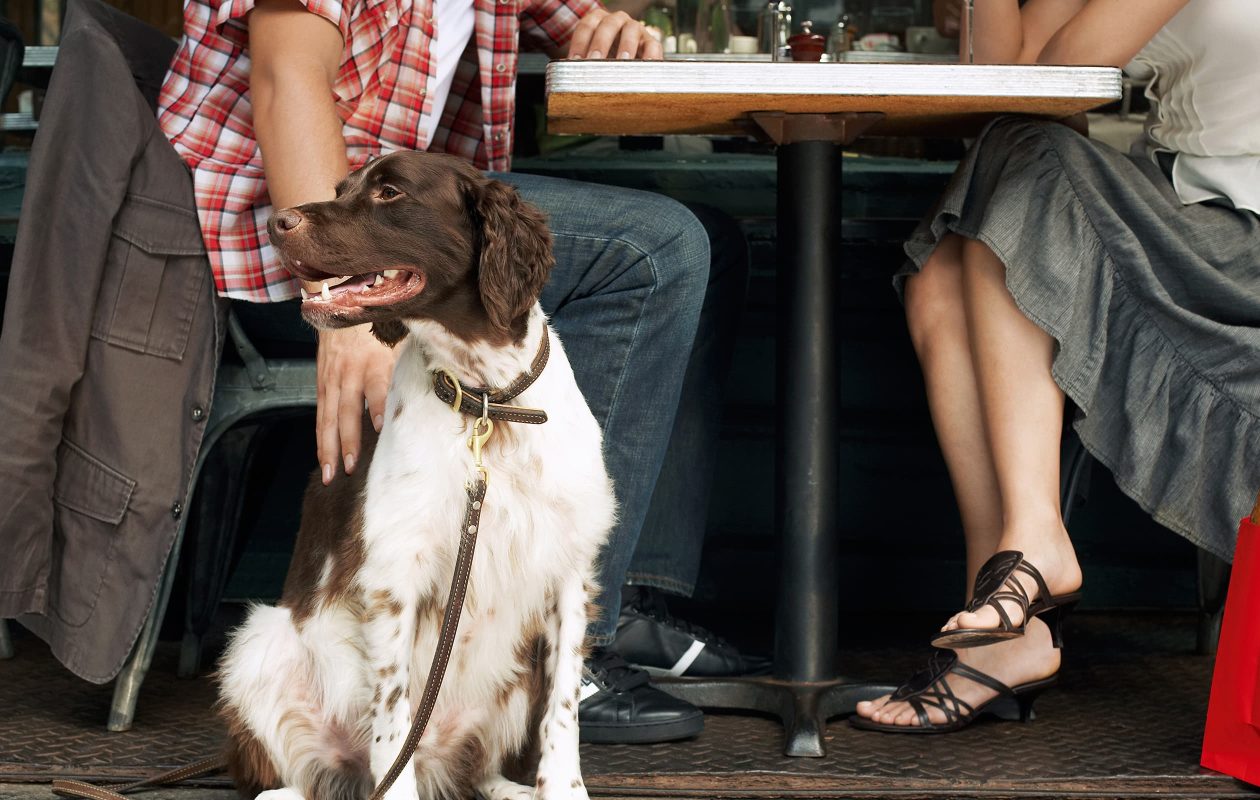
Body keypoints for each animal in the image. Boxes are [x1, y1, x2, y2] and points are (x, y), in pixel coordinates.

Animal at [217, 151, 619, 800]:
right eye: (341, 189)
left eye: (389, 192)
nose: (277, 222)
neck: (487, 402)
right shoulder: (394, 576)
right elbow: (393, 720)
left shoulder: (569, 572)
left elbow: (563, 713)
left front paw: (561, 788)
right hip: (260, 641)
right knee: (302, 781)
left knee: (477, 773)